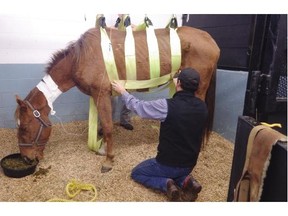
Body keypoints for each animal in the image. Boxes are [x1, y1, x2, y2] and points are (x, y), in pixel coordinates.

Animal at [14, 25, 219, 172]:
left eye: (24, 127)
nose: (25, 158)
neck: (81, 58)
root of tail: (210, 40)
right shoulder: (98, 96)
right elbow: (102, 125)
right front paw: (103, 148)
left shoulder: (101, 94)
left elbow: (108, 127)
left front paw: (108, 160)